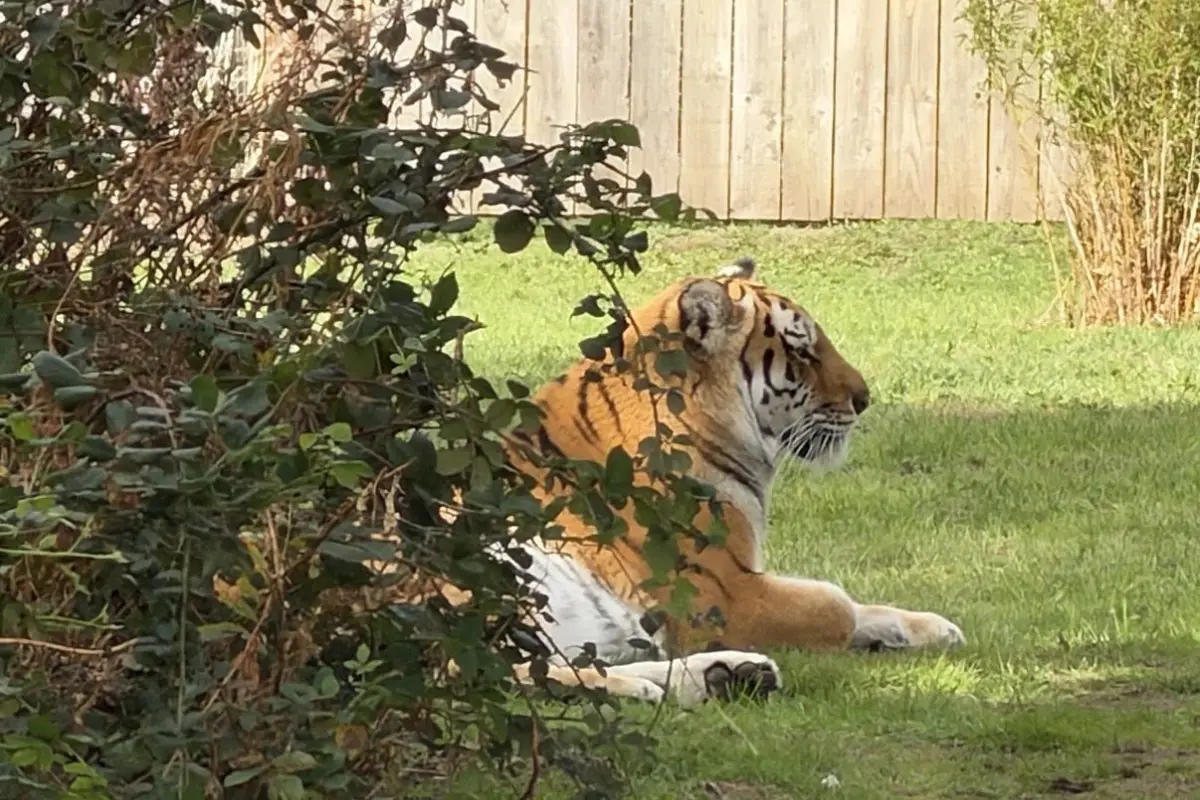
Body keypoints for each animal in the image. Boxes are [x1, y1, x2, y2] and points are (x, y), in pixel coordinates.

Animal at [427, 256, 965, 708]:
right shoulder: (726, 595)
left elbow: (864, 605)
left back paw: (727, 676)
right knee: (469, 672)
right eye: (801, 351)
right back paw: (654, 687)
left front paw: (935, 629)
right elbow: (837, 605)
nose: (864, 399)